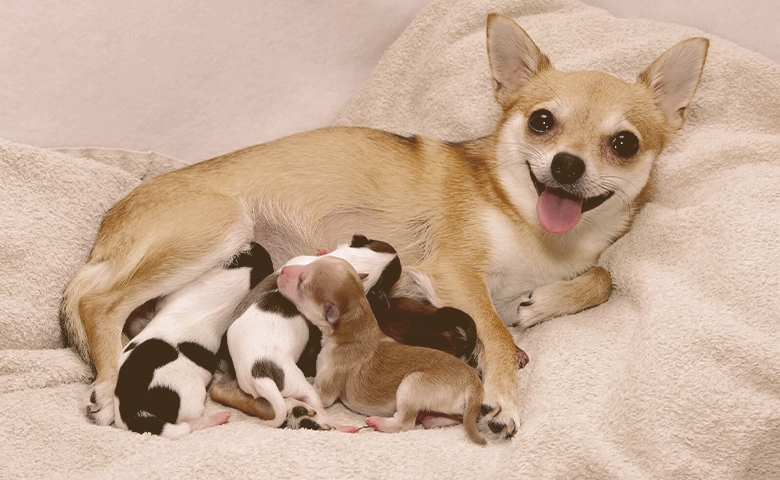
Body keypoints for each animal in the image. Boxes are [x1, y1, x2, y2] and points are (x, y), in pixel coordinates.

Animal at [278, 255, 488, 446]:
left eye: (302, 282)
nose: (282, 270)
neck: (356, 323)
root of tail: (474, 383)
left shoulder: (325, 387)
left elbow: (307, 393)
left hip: (412, 384)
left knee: (405, 423)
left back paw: (378, 422)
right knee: (456, 418)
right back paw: (431, 418)